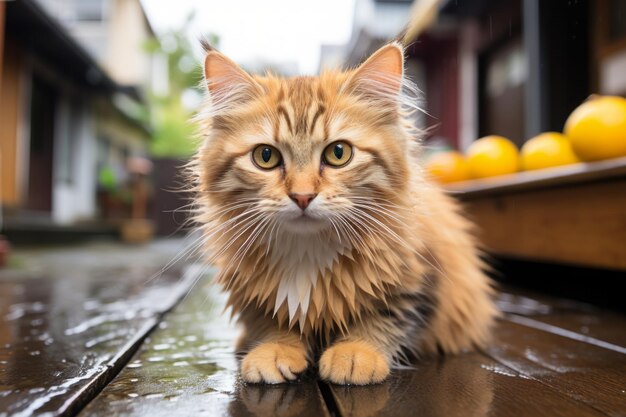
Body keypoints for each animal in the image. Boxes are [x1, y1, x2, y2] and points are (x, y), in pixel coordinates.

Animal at [193, 41, 494, 384]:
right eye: (265, 156)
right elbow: (271, 321)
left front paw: (355, 354)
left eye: (338, 153)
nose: (302, 196)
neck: (306, 251)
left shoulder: (417, 278)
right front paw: (274, 350)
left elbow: (383, 317)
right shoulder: (251, 290)